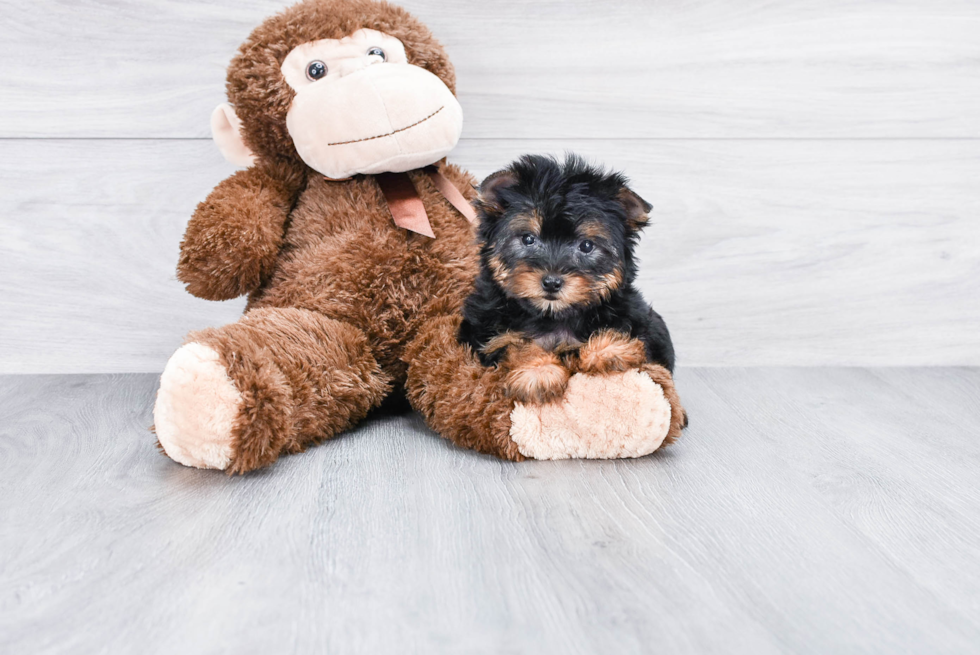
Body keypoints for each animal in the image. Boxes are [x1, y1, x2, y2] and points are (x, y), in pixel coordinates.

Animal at [458, 154, 672, 404]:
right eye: (528, 239)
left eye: (586, 246)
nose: (552, 282)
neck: (553, 316)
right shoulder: (484, 335)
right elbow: (516, 344)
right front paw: (539, 371)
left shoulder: (640, 321)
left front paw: (609, 349)